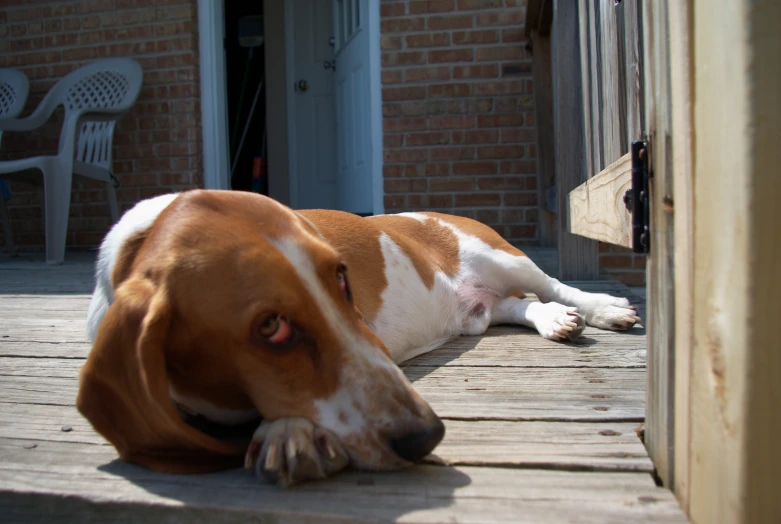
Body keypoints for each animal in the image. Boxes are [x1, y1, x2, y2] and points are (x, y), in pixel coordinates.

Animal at [79, 188, 640, 488]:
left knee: (551, 285)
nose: (426, 436)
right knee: (518, 305)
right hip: (483, 310)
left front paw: (287, 432)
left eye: (343, 279)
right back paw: (554, 320)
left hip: (501, 257)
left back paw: (602, 308)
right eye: (271, 328)